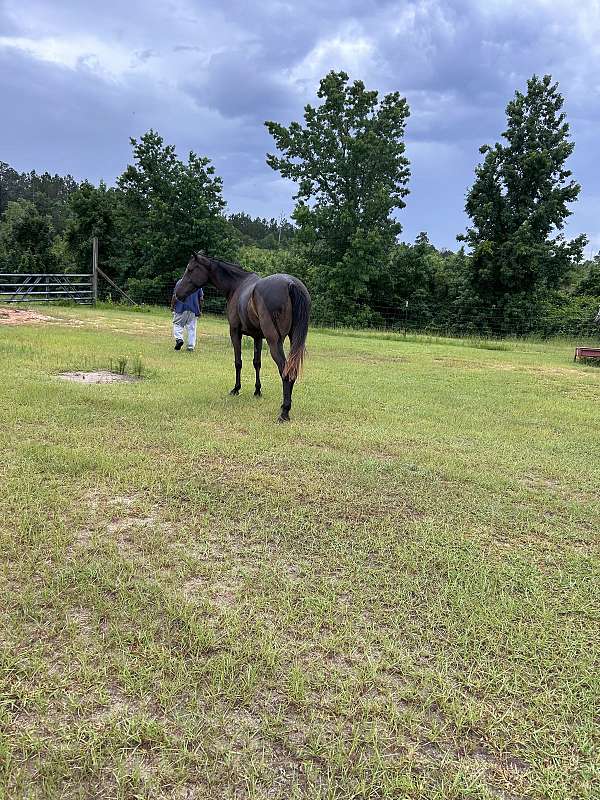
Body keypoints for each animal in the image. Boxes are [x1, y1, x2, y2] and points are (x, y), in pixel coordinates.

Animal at [173, 253, 312, 422]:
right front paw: (257, 391)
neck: (237, 286)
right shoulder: (258, 337)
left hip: (274, 342)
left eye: (190, 269)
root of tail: (290, 283)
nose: (177, 293)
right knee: (291, 370)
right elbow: (257, 363)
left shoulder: (235, 332)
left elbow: (238, 362)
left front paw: (236, 389)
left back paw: (284, 411)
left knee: (285, 371)